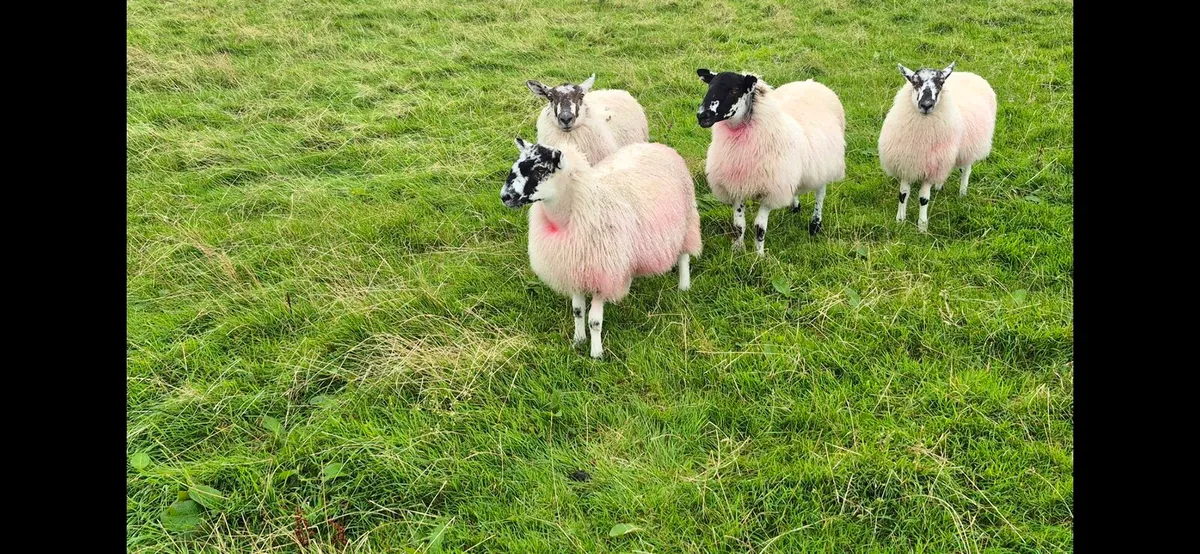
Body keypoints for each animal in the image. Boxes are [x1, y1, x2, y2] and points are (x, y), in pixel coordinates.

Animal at [500, 138, 702, 359]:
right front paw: (578, 340)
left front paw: (596, 354)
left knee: (684, 256)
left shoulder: (601, 274)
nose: (504, 196)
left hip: (687, 221)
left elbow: (594, 321)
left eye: (540, 169)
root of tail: (657, 146)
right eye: (516, 164)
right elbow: (577, 311)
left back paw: (684, 286)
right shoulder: (575, 269)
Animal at [695, 69, 846, 256]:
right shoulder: (737, 185)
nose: (702, 116)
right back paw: (795, 207)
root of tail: (811, 83)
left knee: (820, 194)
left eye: (735, 90)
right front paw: (737, 250)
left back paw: (815, 224)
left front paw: (759, 255)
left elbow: (759, 227)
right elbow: (738, 225)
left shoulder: (771, 191)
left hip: (824, 164)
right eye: (710, 86)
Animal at [878, 62, 997, 233]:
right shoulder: (906, 163)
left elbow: (923, 198)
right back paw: (939, 185)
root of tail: (969, 74)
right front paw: (900, 220)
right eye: (915, 82)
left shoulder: (931, 167)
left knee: (966, 170)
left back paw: (962, 192)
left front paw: (922, 226)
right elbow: (903, 194)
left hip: (969, 147)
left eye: (941, 83)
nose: (926, 105)